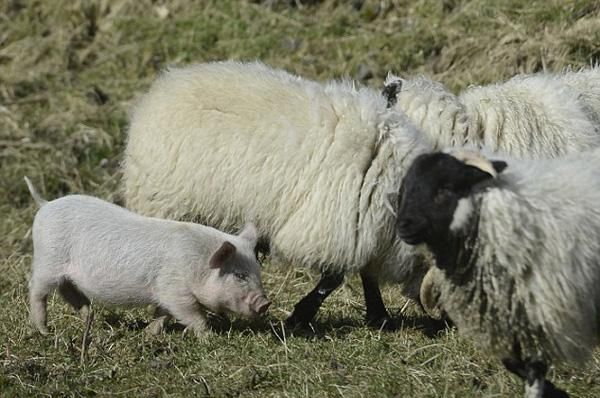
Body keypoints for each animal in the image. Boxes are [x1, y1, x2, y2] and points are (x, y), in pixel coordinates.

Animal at [25, 177, 270, 336]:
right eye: (239, 275)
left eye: (258, 273)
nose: (265, 303)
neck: (198, 263)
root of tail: (45, 204)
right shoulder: (173, 289)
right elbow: (193, 316)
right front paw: (208, 338)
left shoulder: (166, 293)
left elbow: (163, 314)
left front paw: (148, 335)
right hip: (47, 260)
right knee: (37, 290)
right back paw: (45, 331)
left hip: (64, 272)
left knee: (68, 291)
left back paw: (88, 317)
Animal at [123, 60, 432, 328]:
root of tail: (161, 89)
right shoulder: (333, 227)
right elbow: (334, 279)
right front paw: (300, 316)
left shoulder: (362, 227)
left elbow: (366, 273)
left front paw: (378, 316)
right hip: (166, 205)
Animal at [394, 148, 600, 396]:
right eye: (406, 188)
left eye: (445, 188)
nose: (403, 225)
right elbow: (511, 361)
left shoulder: (543, 311)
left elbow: (535, 367)